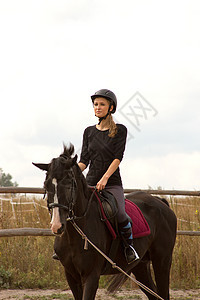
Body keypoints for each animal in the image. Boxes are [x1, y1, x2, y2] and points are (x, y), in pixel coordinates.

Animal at [33, 144, 177, 298]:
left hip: (162, 261)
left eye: (68, 185)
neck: (75, 234)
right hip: (141, 266)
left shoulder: (91, 276)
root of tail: (161, 202)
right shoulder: (71, 276)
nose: (57, 225)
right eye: (46, 185)